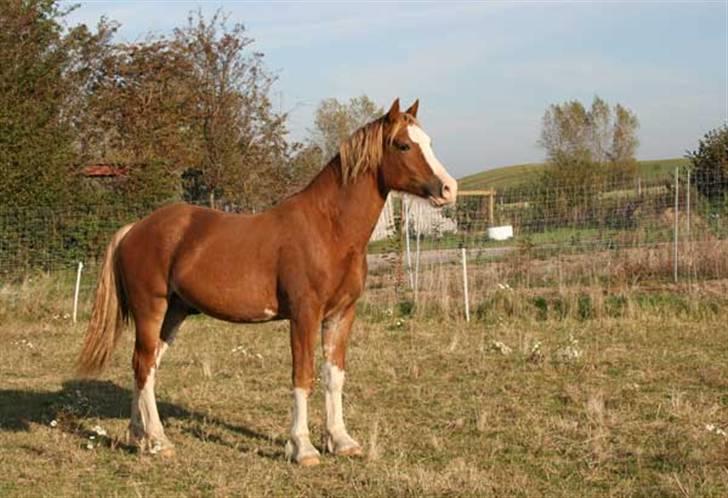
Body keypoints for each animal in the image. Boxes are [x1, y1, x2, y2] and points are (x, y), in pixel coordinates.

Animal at [77, 98, 458, 466]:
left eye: (428, 142)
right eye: (403, 145)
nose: (449, 189)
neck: (329, 230)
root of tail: (134, 229)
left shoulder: (341, 314)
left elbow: (334, 376)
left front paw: (341, 441)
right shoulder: (304, 315)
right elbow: (302, 375)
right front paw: (303, 448)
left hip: (174, 313)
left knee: (147, 367)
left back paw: (139, 438)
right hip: (151, 310)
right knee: (143, 365)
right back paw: (159, 442)